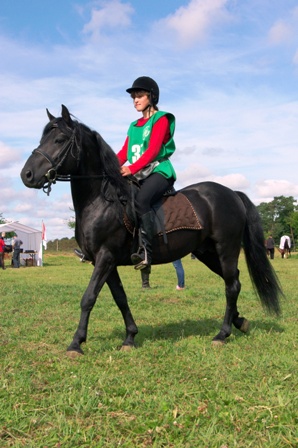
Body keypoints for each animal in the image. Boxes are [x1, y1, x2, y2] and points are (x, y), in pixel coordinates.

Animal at [20, 105, 282, 354]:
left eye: (60, 139)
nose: (27, 175)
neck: (102, 200)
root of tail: (231, 193)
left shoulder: (105, 257)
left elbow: (89, 297)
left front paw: (76, 343)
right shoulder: (104, 261)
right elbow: (120, 298)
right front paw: (130, 337)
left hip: (226, 249)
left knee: (231, 285)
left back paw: (222, 334)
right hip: (207, 253)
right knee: (233, 281)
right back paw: (239, 322)